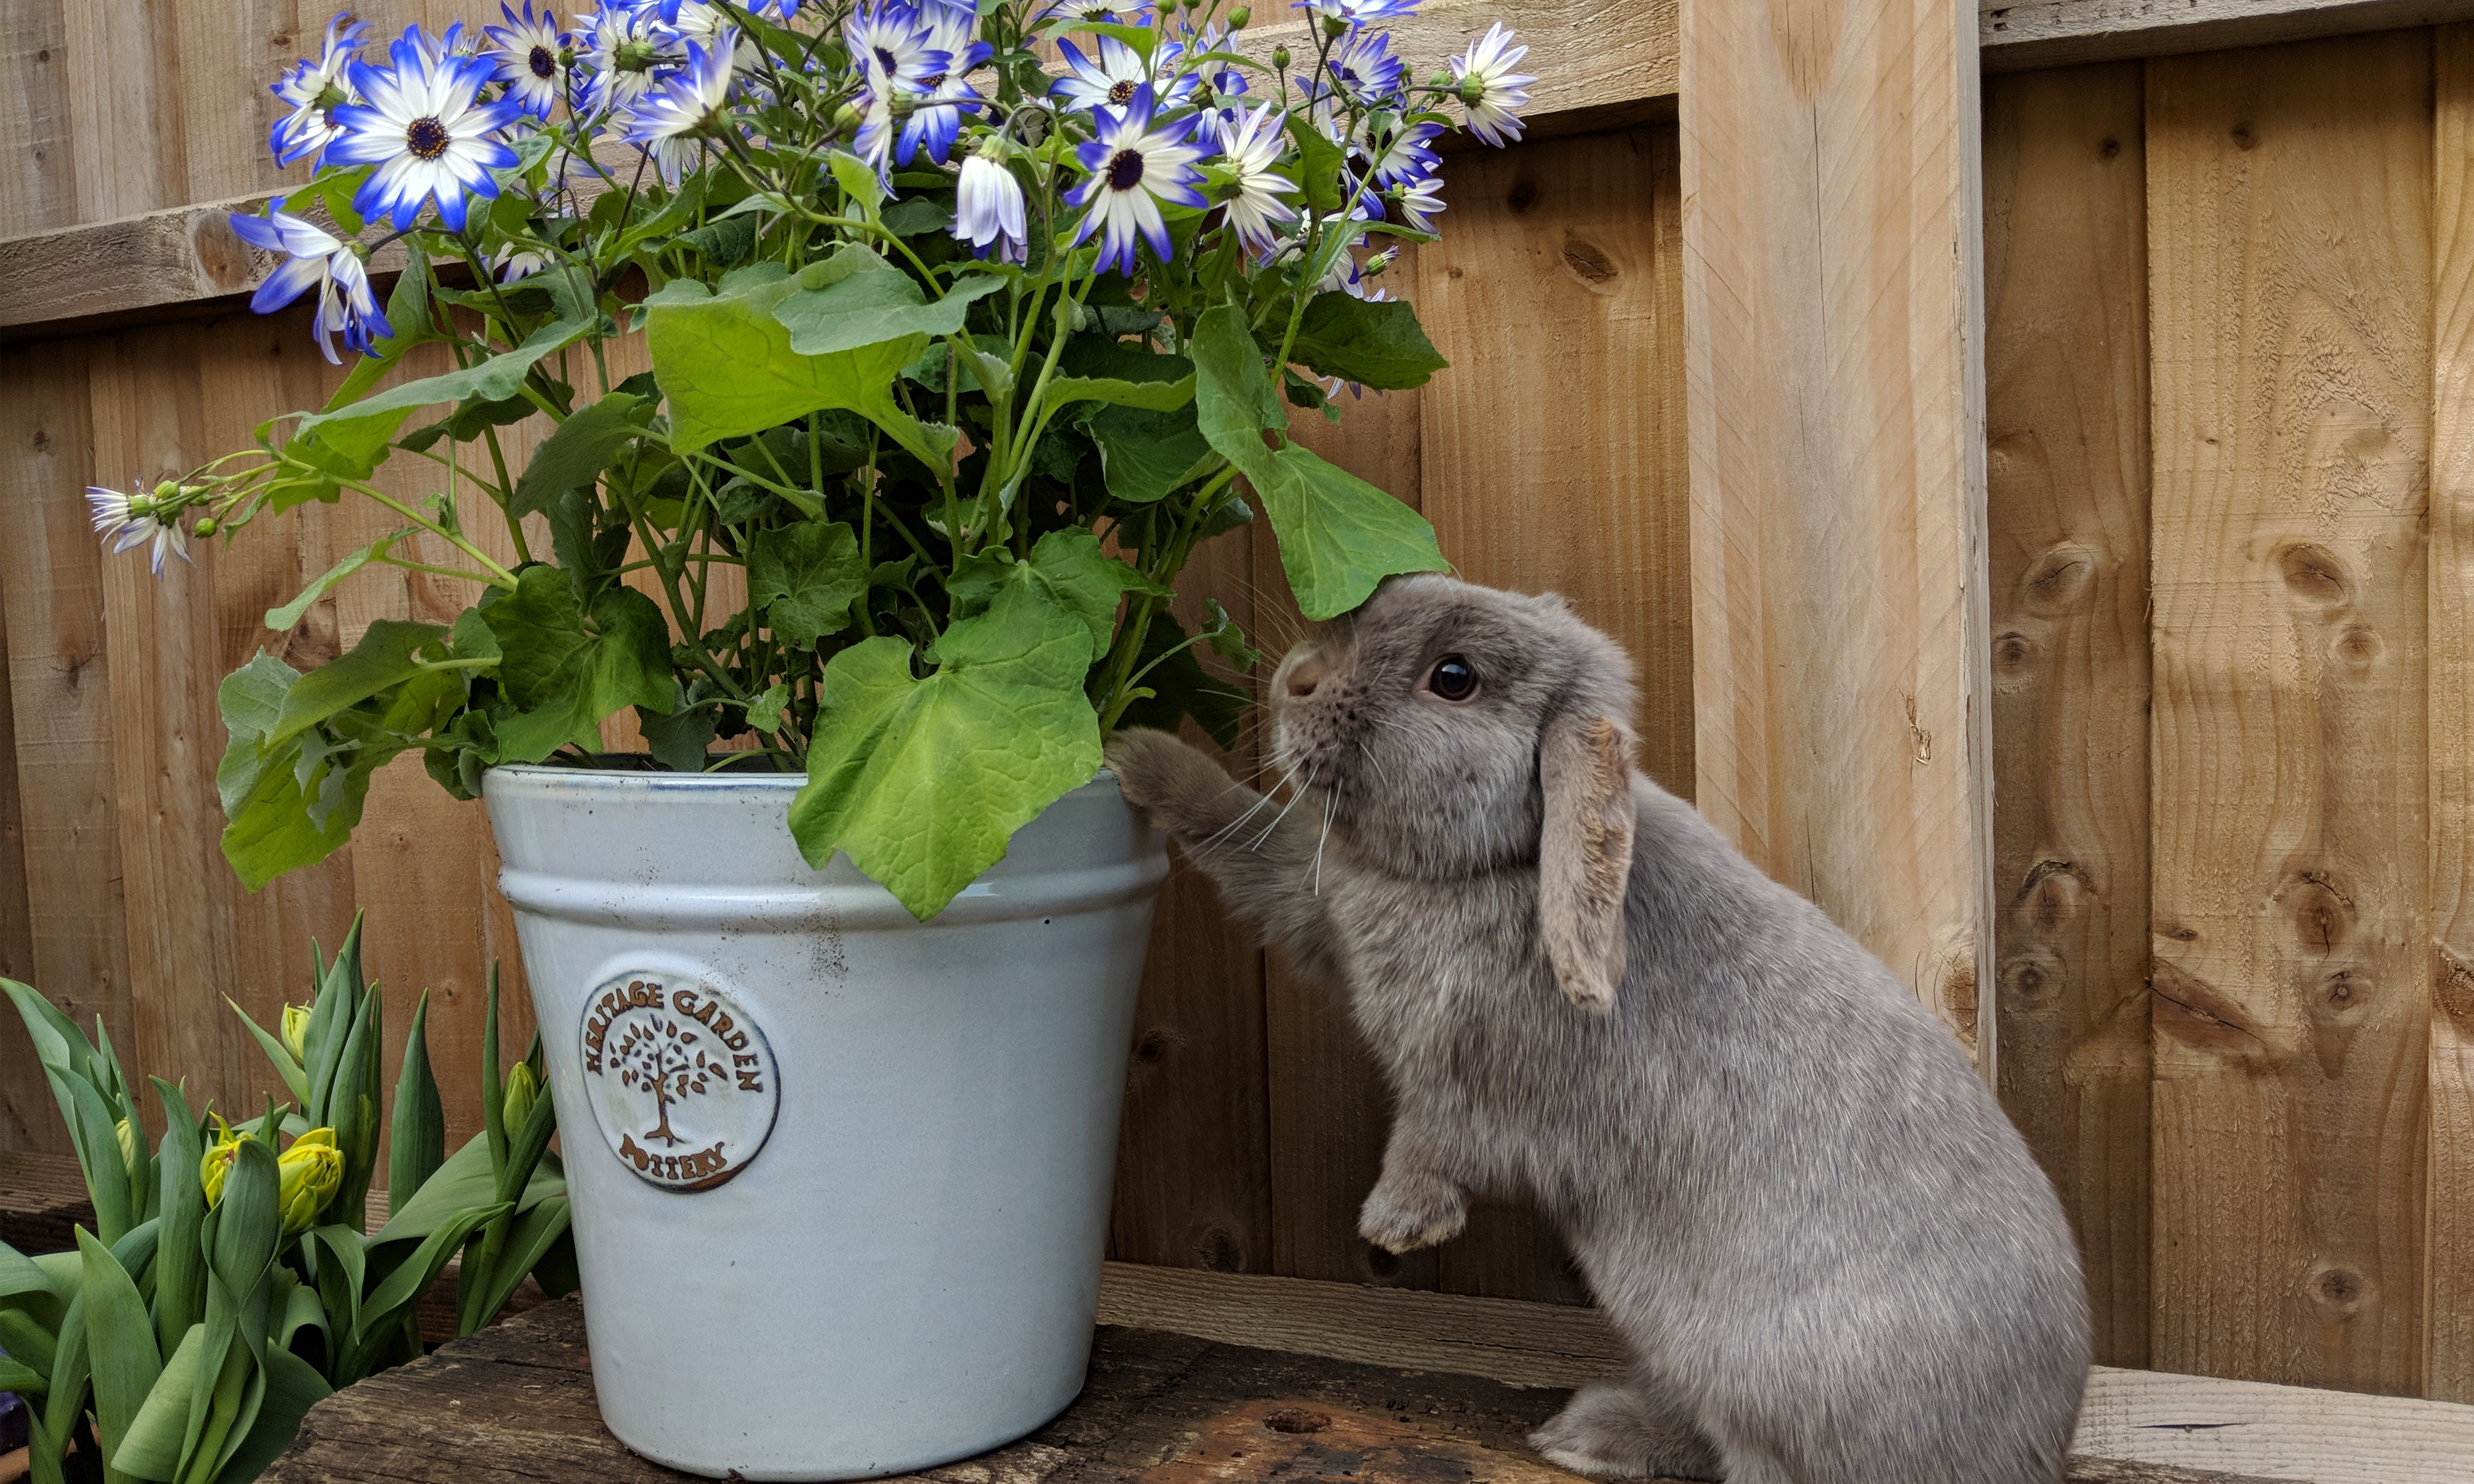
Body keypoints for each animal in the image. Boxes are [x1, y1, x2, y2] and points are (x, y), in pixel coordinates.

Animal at [1103, 576, 2088, 1484]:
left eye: (1453, 678)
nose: (1298, 679)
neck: (1504, 861)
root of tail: (2032, 1450)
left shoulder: (1467, 1087)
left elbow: (1431, 1144)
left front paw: (1395, 1228)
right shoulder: (1316, 910)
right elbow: (1247, 841)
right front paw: (1134, 754)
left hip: (1760, 1385)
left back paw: (1593, 1439)